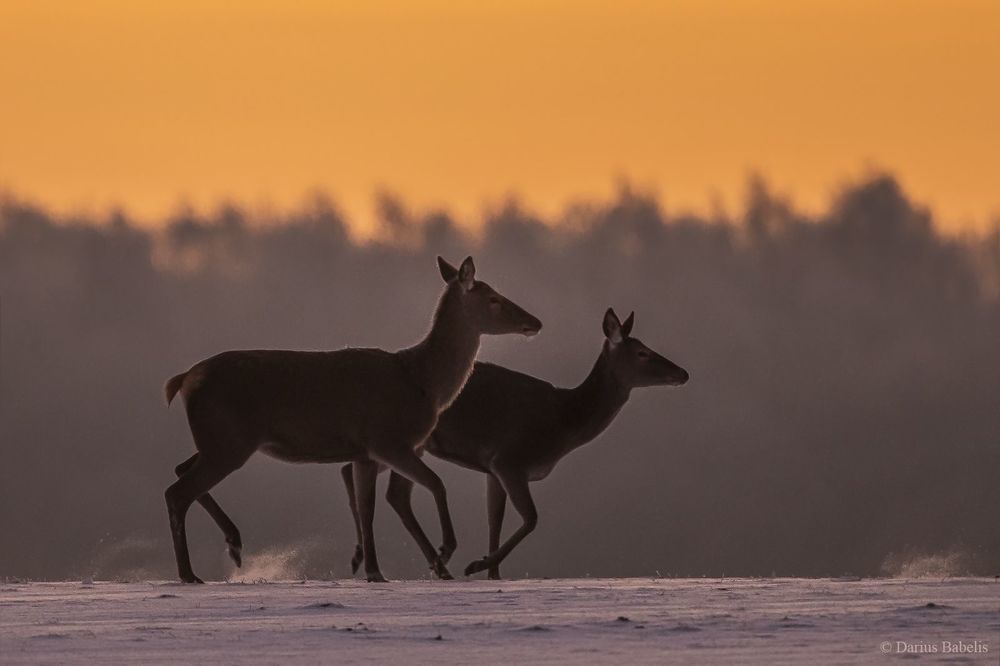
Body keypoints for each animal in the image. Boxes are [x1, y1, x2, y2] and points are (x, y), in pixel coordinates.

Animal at [162, 256, 542, 583]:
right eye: (493, 299)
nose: (535, 322)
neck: (423, 382)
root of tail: (183, 380)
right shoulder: (388, 440)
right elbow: (436, 484)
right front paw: (444, 552)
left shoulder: (365, 453)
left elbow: (366, 506)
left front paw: (373, 570)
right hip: (228, 441)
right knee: (176, 492)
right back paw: (190, 573)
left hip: (219, 440)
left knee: (180, 471)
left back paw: (233, 542)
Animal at [341, 308, 688, 579]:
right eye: (642, 353)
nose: (683, 373)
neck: (563, 423)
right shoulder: (510, 459)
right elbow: (531, 518)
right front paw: (478, 564)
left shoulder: (493, 468)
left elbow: (495, 518)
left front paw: (492, 571)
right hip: (400, 440)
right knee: (380, 485)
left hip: (406, 446)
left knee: (373, 482)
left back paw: (412, 562)